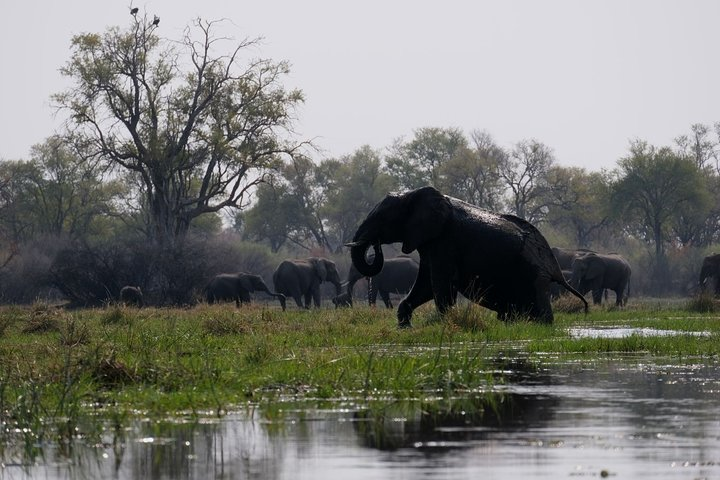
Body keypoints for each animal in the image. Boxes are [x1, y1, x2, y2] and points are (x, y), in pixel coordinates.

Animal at [346, 186, 588, 328]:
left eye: (382, 219)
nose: (375, 245)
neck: (412, 195)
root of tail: (554, 267)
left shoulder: (445, 241)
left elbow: (439, 284)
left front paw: (444, 324)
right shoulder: (430, 243)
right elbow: (425, 285)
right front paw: (404, 327)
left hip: (533, 275)